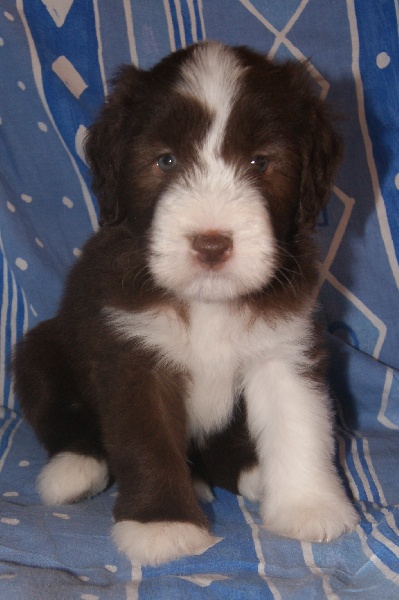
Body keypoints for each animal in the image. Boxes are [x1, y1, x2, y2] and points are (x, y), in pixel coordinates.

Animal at [12, 42, 358, 568]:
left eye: (259, 162)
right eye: (166, 160)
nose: (211, 244)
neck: (206, 302)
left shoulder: (283, 345)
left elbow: (300, 422)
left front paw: (308, 506)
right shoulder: (133, 355)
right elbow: (146, 442)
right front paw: (163, 525)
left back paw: (249, 472)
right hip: (39, 349)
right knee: (60, 415)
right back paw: (74, 471)